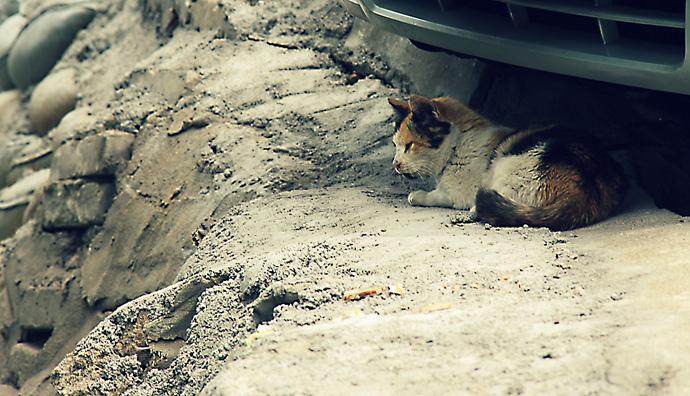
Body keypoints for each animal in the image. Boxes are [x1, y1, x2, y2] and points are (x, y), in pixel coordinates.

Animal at [390, 94, 628, 230]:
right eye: (395, 145)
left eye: (409, 145)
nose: (395, 164)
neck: (457, 145)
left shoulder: (459, 193)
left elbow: (437, 195)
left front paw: (418, 195)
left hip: (509, 165)